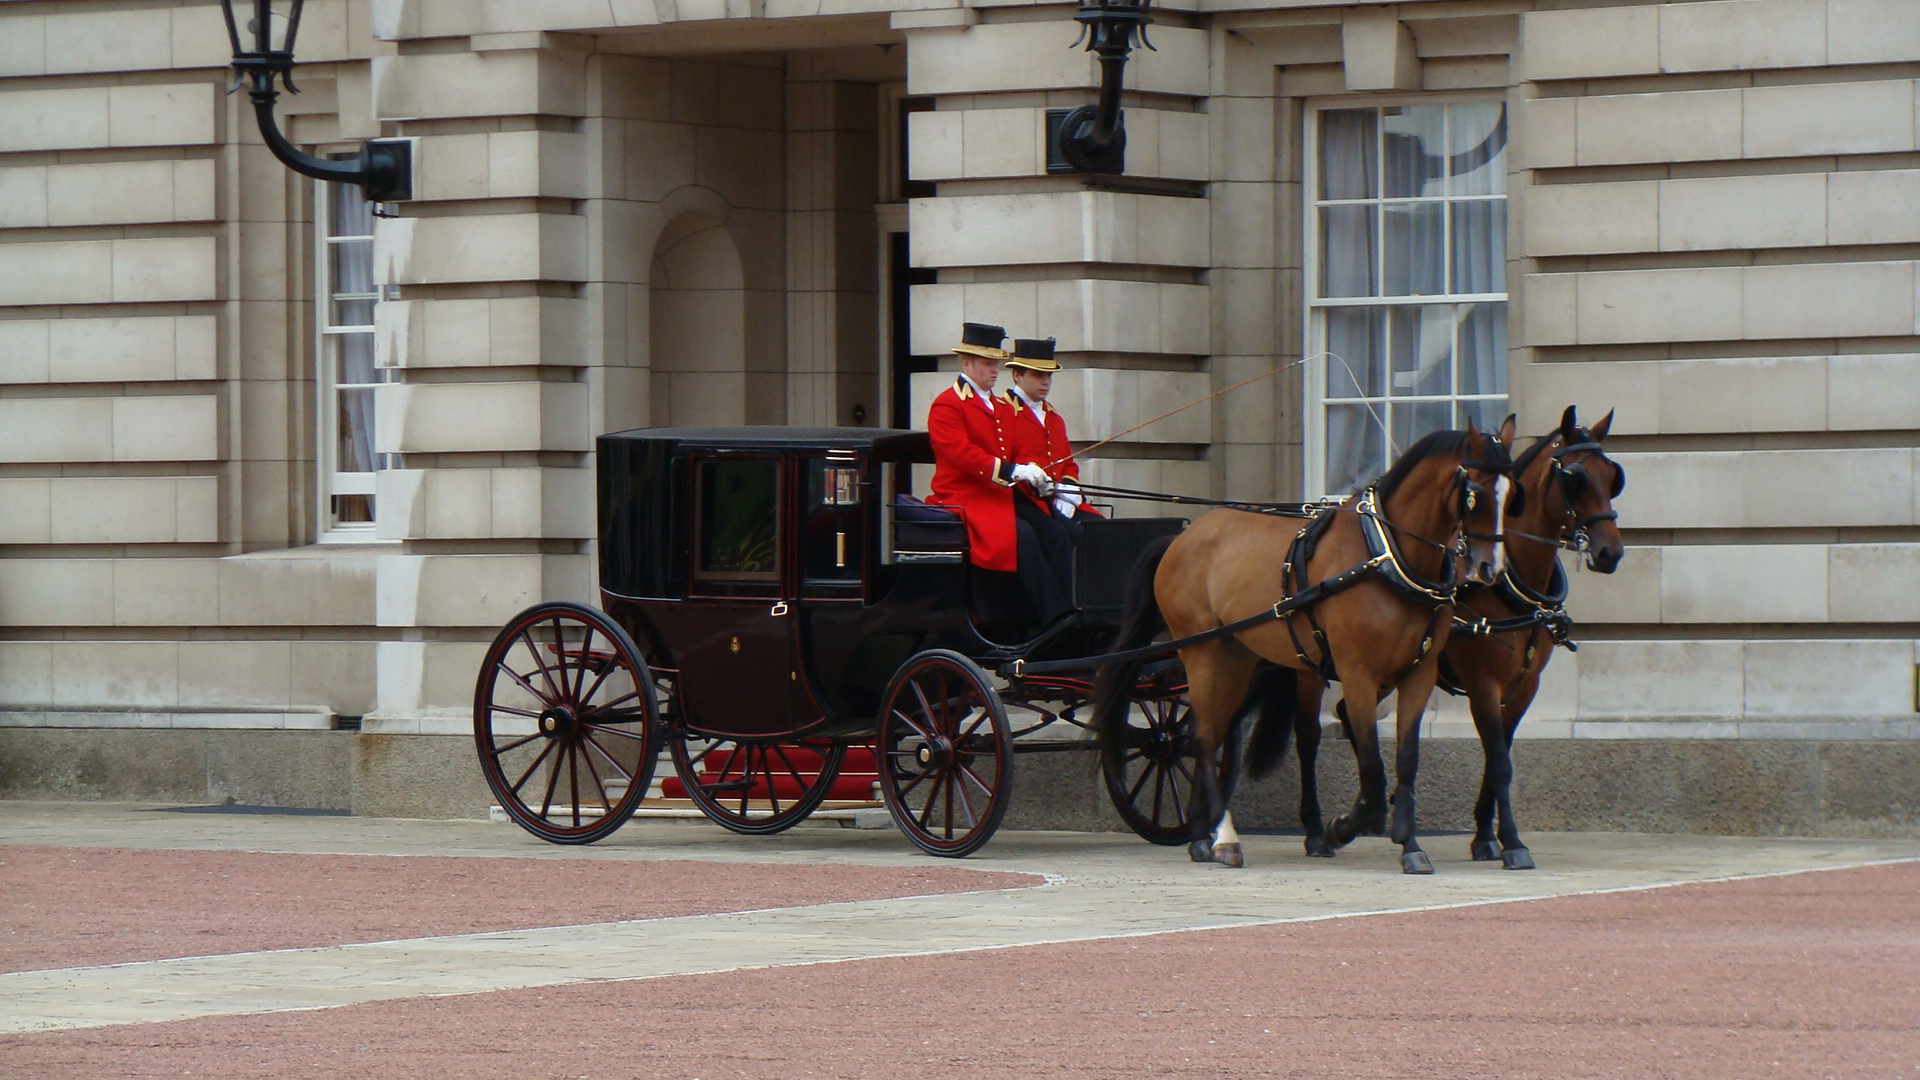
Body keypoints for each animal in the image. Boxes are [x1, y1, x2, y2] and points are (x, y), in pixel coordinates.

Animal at [1098, 417, 1512, 868]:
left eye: (1511, 494)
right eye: (1474, 494)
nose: (1490, 568)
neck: (1387, 557)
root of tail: (1182, 538)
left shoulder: (1419, 673)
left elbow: (1406, 758)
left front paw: (1410, 843)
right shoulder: (1358, 673)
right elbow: (1371, 766)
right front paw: (1344, 826)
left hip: (1235, 655)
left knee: (1210, 730)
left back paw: (1202, 833)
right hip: (1200, 651)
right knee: (1203, 738)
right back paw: (1218, 838)